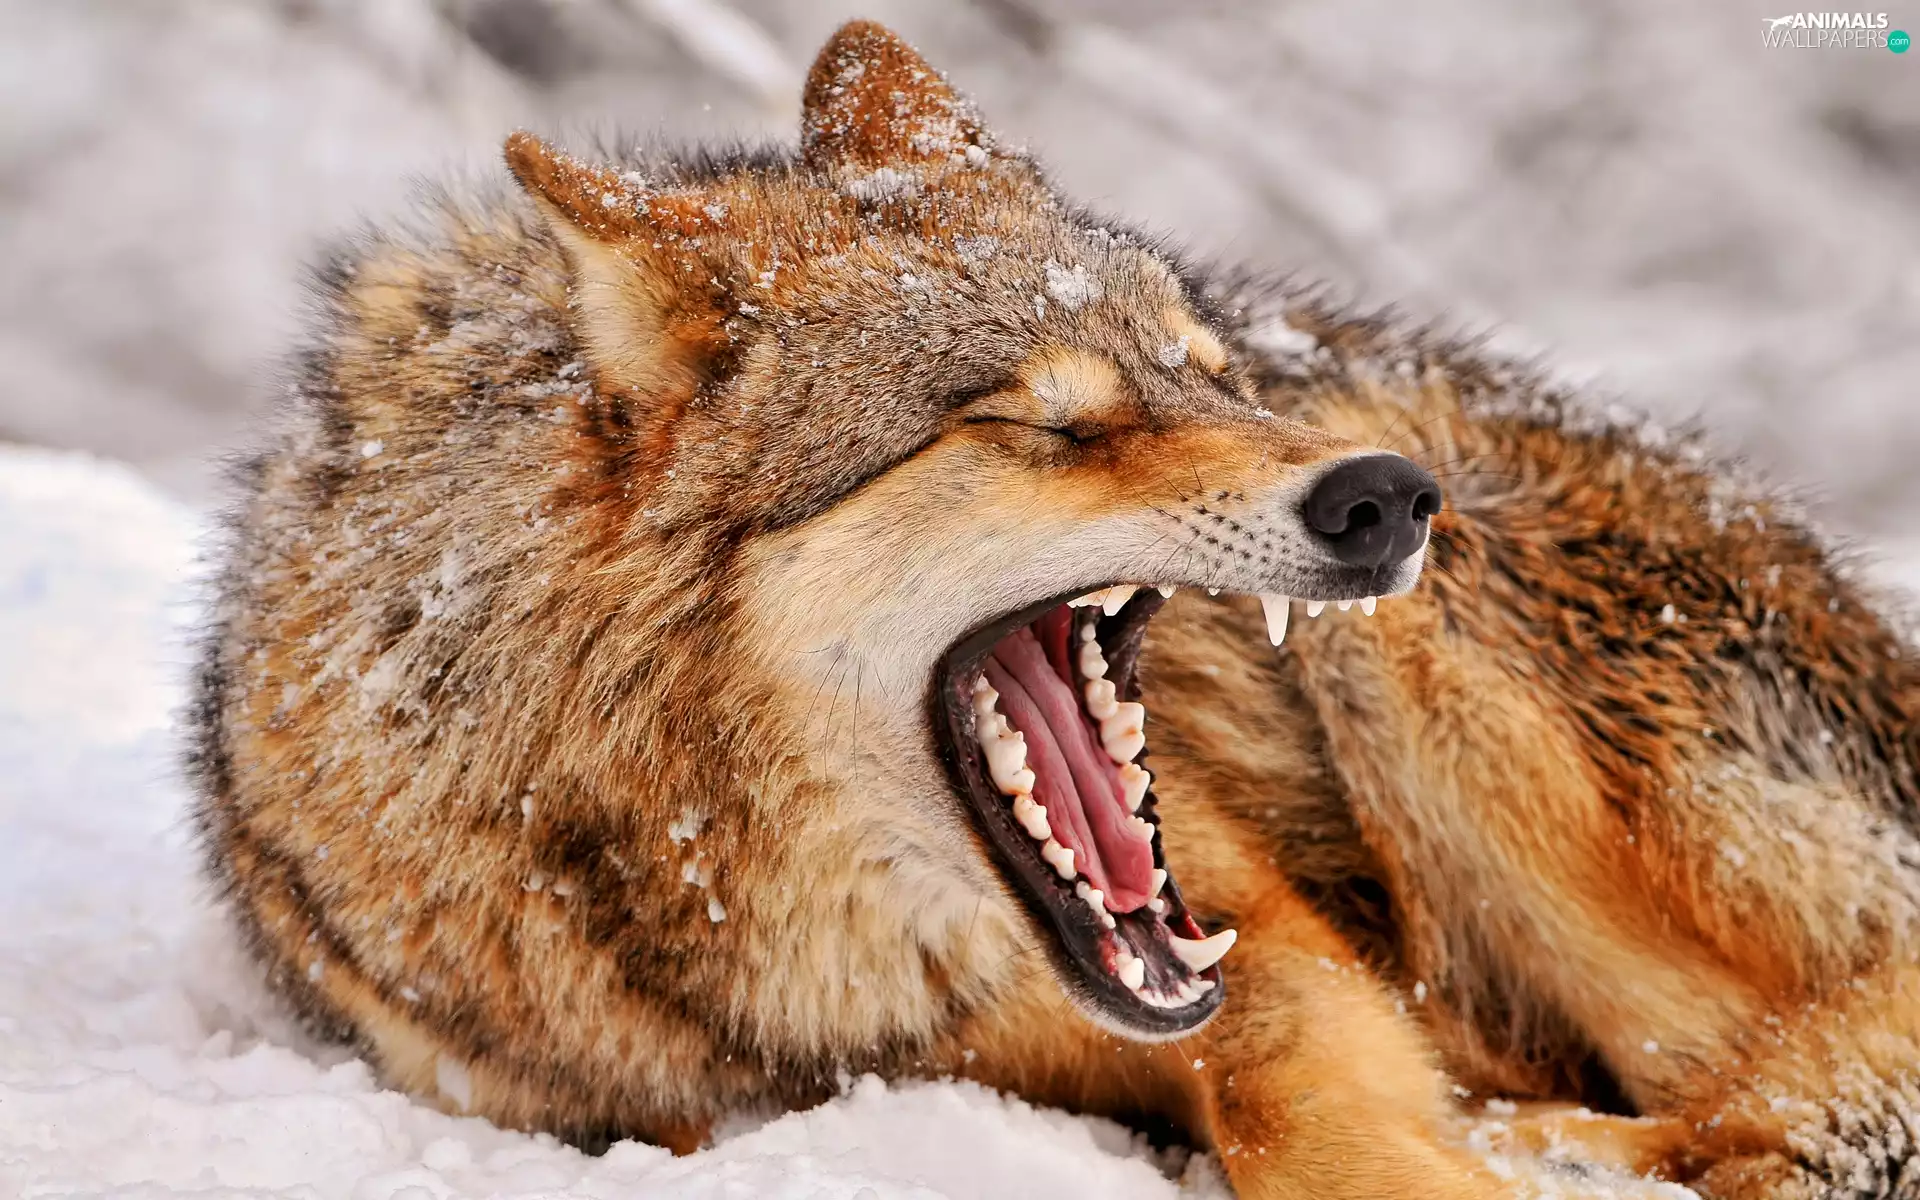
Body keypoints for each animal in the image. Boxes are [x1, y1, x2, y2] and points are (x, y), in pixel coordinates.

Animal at [192, 20, 1920, 1199]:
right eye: (1048, 423)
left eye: (1210, 376)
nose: (1386, 499)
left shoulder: (1266, 945)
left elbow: (1318, 1126)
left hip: (1446, 687)